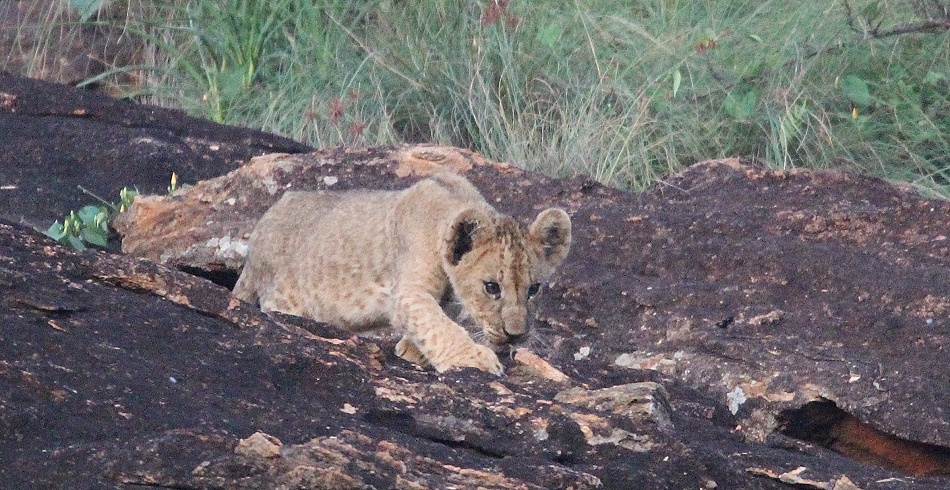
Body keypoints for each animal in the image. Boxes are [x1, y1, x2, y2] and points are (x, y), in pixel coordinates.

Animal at [232, 172, 572, 374]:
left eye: (533, 289)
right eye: (491, 287)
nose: (517, 336)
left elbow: (436, 321)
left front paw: (412, 350)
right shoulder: (408, 292)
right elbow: (439, 326)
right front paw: (474, 358)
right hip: (283, 296)